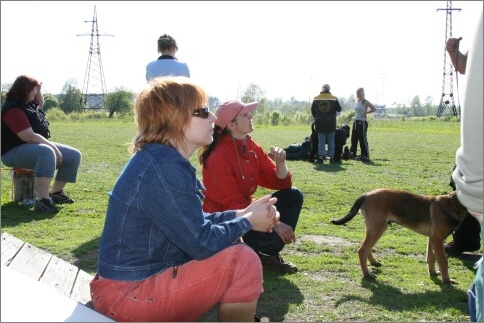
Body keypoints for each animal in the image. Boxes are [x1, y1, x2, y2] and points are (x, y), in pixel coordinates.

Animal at [330, 189, 466, 284]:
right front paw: (447, 280)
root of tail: (366, 194)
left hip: (376, 228)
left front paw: (433, 273)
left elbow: (431, 257)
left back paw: (374, 263)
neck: (452, 205)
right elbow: (443, 260)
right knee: (362, 249)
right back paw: (367, 275)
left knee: (366, 247)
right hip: (377, 228)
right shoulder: (437, 239)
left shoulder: (432, 238)